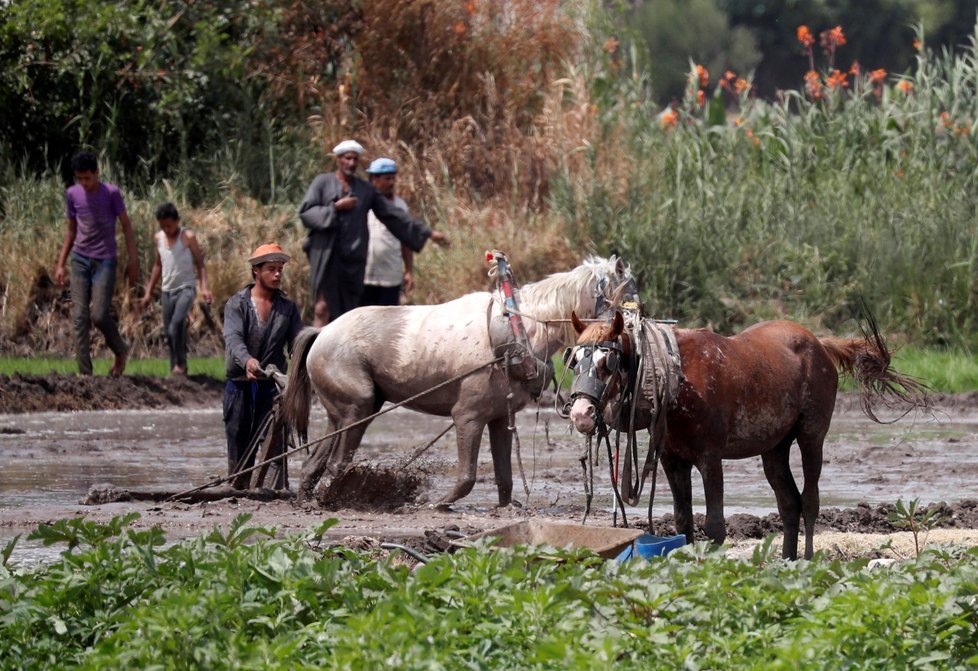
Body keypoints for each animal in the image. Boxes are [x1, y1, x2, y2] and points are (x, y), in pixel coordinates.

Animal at [568, 312, 920, 560]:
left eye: (608, 362)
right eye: (574, 361)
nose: (581, 413)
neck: (678, 377)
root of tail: (819, 344)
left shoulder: (710, 458)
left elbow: (715, 526)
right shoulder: (672, 460)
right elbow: (683, 522)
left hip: (811, 438)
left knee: (809, 501)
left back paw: (806, 563)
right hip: (774, 449)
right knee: (789, 503)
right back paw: (787, 562)